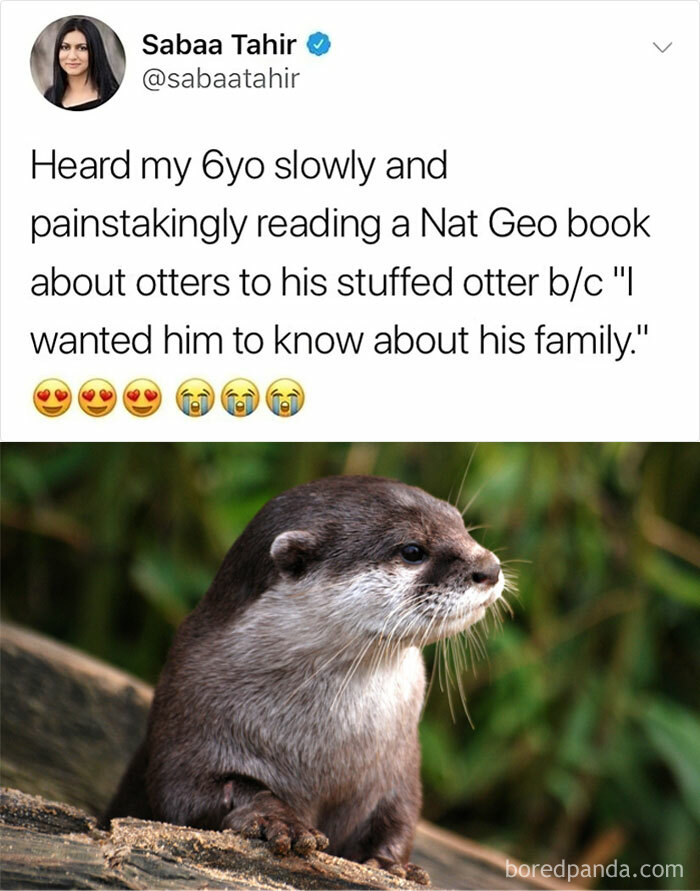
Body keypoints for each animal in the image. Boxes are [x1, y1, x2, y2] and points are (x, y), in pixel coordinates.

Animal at [104, 476, 504, 883]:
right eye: (412, 550)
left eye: (461, 524)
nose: (489, 567)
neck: (325, 751)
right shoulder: (186, 718)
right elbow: (187, 795)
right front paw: (278, 820)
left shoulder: (399, 768)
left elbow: (400, 818)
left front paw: (391, 864)